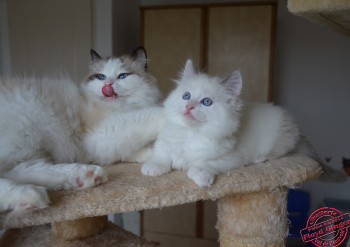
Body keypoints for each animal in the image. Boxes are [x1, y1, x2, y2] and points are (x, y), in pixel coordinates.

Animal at [0, 46, 161, 214]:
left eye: (122, 76)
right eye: (101, 77)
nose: (107, 87)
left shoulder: (103, 147)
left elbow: (130, 150)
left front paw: (152, 153)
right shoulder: (103, 132)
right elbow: (149, 115)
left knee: (20, 170)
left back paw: (84, 176)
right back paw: (29, 194)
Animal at [141, 59, 302, 187]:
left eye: (207, 102)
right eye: (186, 96)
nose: (189, 107)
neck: (192, 133)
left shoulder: (231, 158)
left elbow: (204, 163)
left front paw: (201, 177)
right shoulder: (164, 143)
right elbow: (161, 154)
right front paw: (153, 167)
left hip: (279, 139)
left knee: (277, 153)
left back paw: (258, 158)